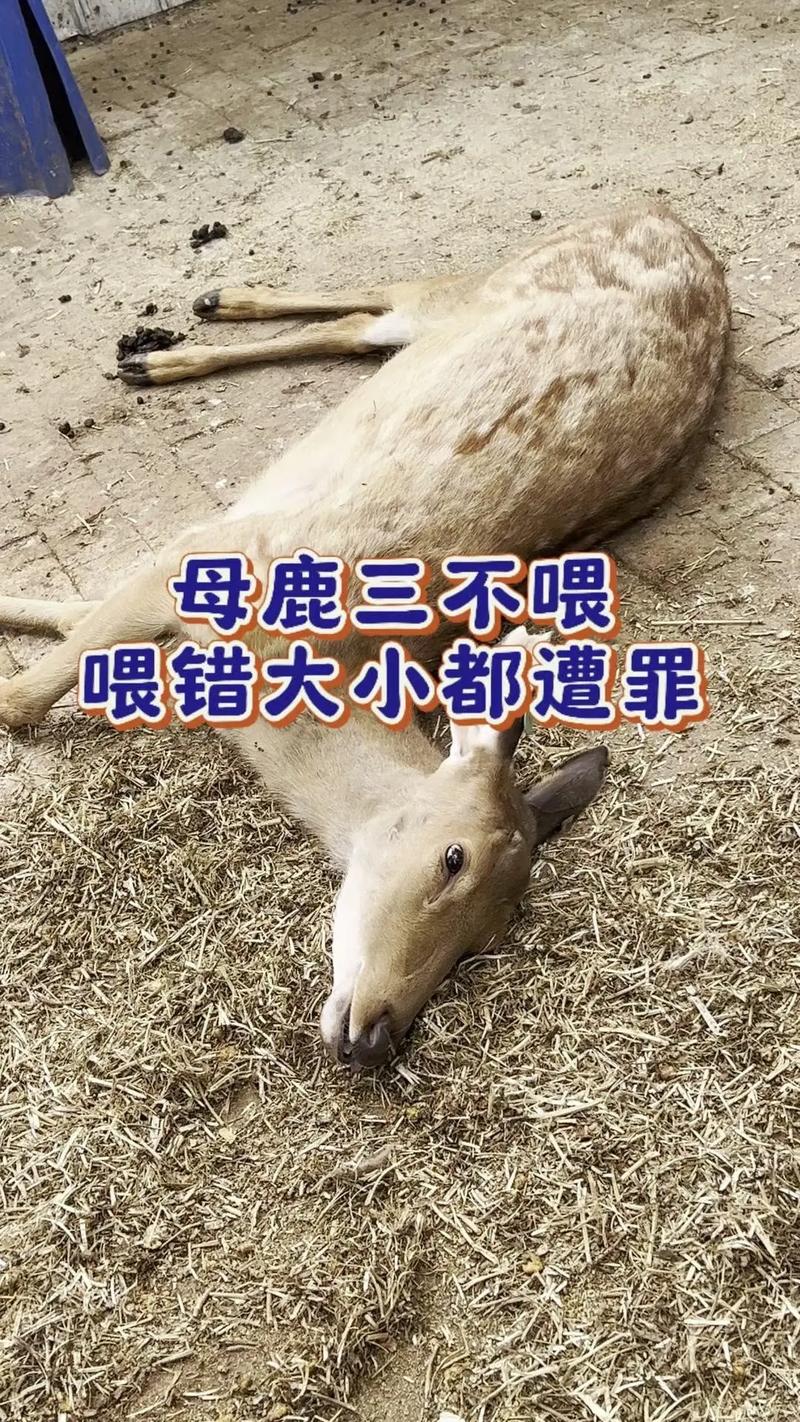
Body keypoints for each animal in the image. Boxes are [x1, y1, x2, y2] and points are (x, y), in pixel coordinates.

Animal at [0, 202, 729, 1070]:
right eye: (454, 858)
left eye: (489, 936)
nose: (376, 1033)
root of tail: (668, 217)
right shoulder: (204, 554)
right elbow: (31, 687)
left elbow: (73, 624)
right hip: (496, 279)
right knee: (391, 299)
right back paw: (177, 332)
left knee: (363, 327)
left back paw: (180, 335)